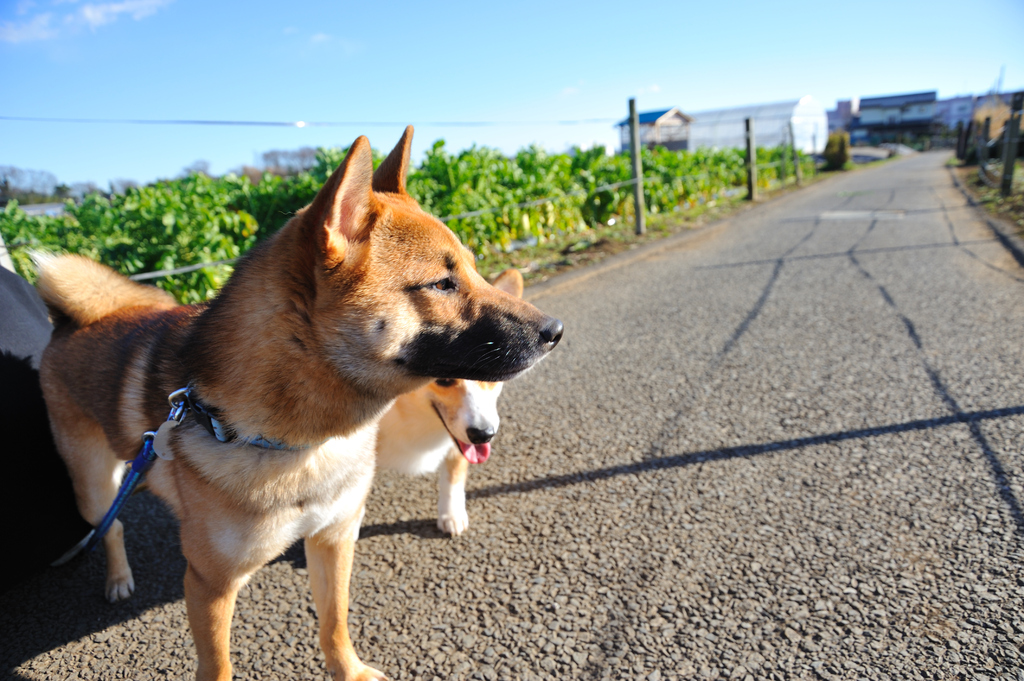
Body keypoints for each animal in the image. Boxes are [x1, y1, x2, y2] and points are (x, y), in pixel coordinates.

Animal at [39, 129, 565, 679]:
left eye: (475, 270)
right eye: (442, 283)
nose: (555, 331)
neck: (301, 440)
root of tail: (73, 321)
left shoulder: (334, 538)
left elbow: (334, 623)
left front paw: (349, 670)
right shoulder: (209, 584)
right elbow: (218, 666)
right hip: (93, 487)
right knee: (112, 526)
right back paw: (118, 577)